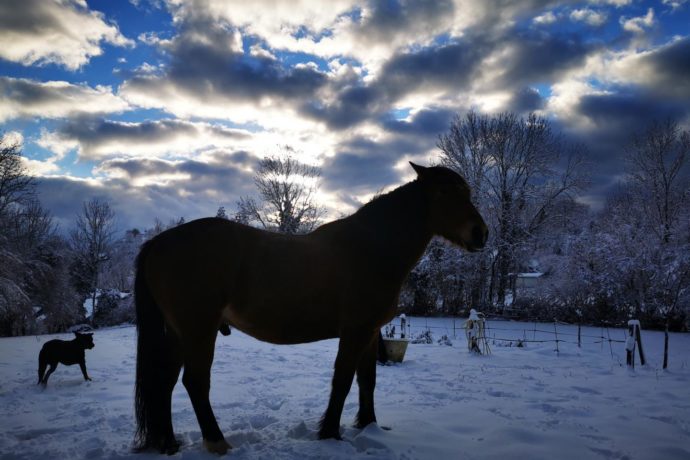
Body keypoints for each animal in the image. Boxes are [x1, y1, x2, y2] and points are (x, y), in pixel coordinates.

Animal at [132, 162, 486, 452]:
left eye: (466, 192)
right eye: (443, 192)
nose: (480, 233)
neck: (371, 248)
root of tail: (159, 242)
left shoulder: (371, 332)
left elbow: (367, 381)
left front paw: (369, 427)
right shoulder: (355, 331)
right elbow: (342, 381)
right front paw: (329, 433)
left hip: (179, 333)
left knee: (164, 382)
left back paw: (169, 443)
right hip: (199, 331)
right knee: (195, 383)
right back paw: (217, 443)